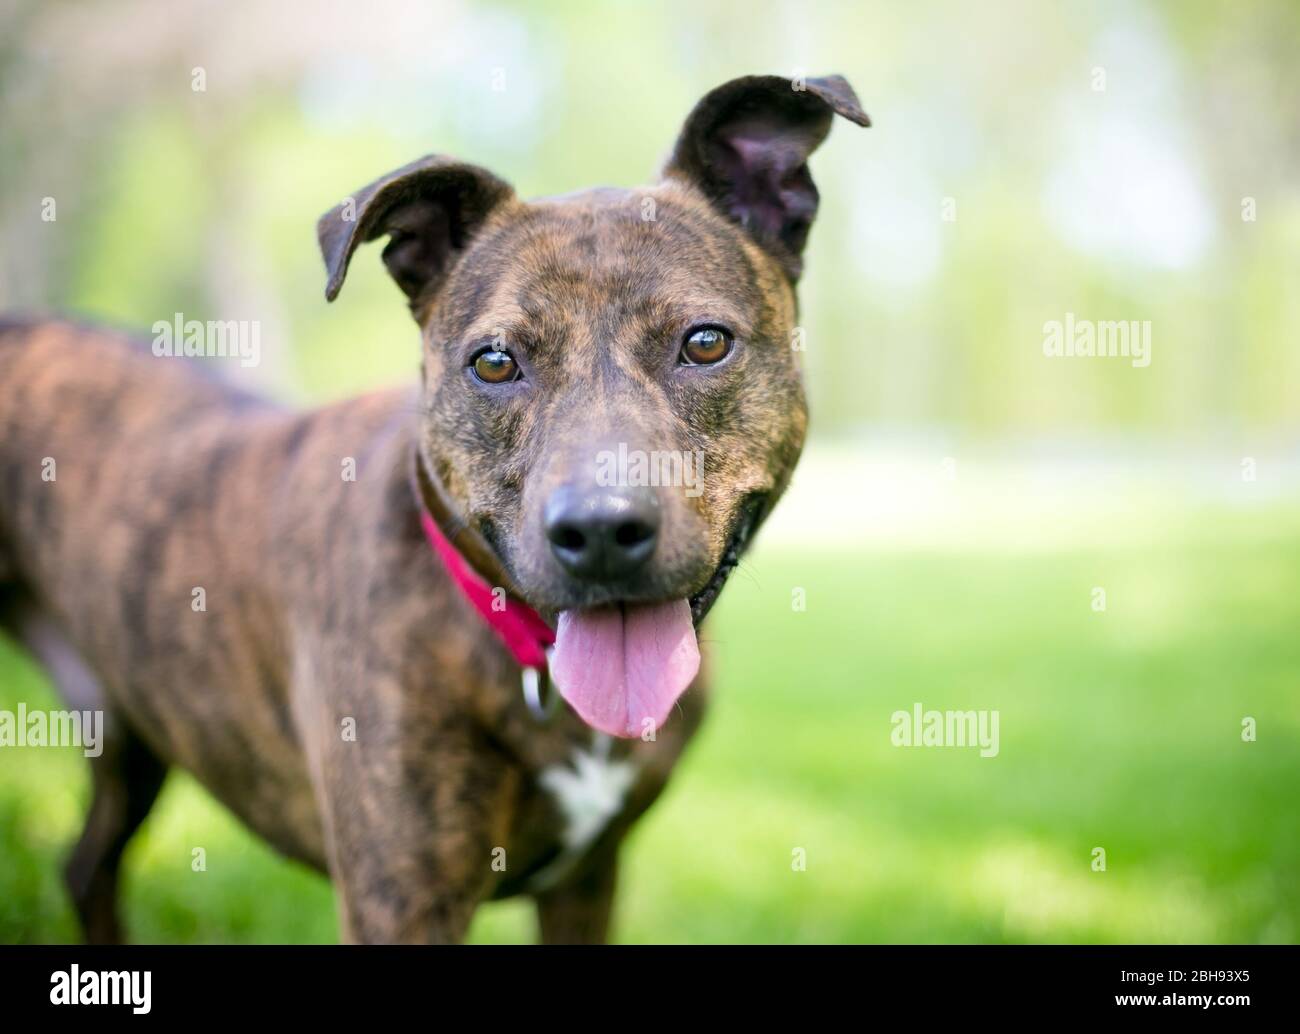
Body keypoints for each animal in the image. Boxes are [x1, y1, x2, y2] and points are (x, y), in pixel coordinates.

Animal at [2, 76, 873, 941]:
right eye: (493, 363)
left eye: (705, 343)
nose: (598, 532)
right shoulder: (402, 900)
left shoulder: (587, 881)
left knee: (86, 865)